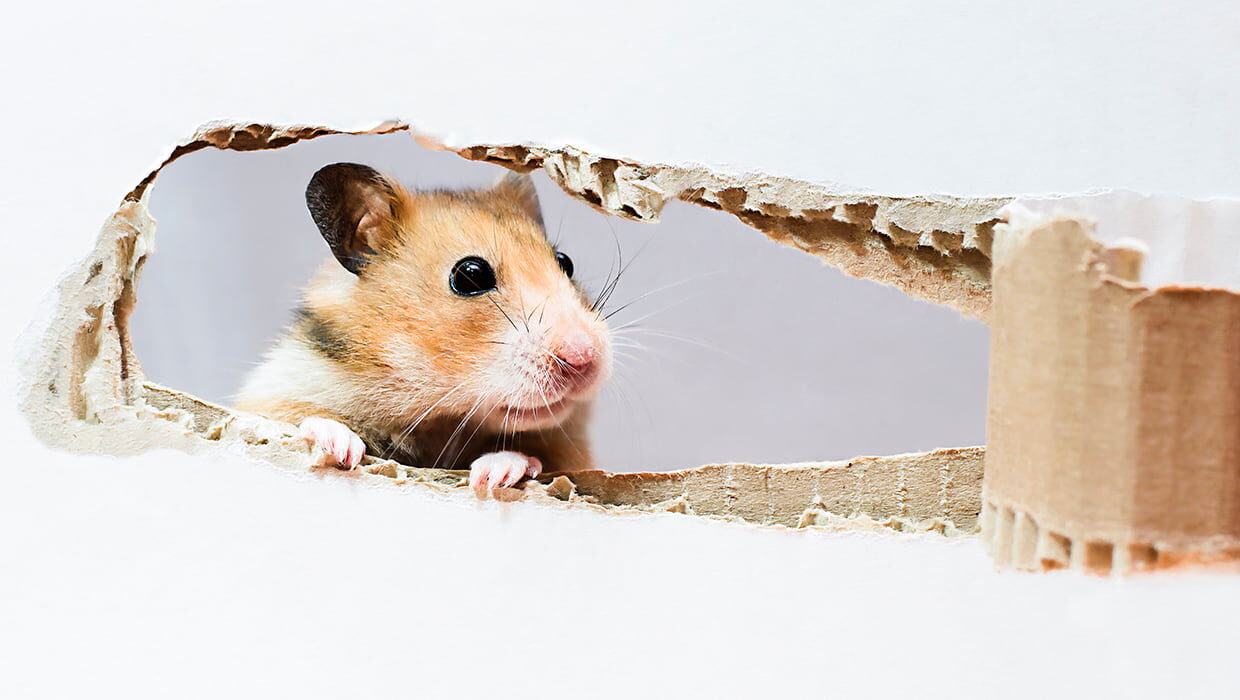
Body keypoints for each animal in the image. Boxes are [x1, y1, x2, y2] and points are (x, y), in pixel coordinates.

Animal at [235, 163, 612, 493]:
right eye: (470, 275)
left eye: (565, 263)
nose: (584, 358)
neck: (442, 419)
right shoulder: (276, 389)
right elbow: (301, 416)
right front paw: (342, 450)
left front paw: (494, 475)